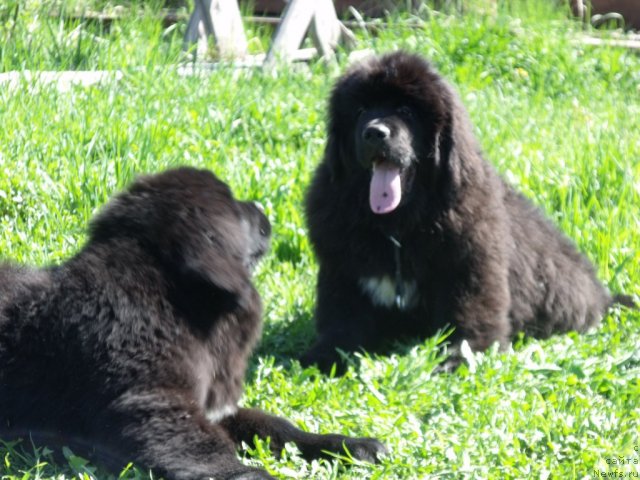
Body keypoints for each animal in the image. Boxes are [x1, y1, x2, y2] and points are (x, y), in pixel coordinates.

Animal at [0, 166, 384, 480]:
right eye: (236, 207)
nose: (261, 207)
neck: (176, 303)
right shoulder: (154, 407)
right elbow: (213, 454)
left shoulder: (207, 405)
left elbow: (276, 426)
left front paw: (351, 445)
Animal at [302, 53, 632, 376]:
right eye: (361, 111)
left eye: (406, 110)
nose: (374, 132)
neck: (398, 227)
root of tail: (601, 294)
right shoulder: (342, 272)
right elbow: (342, 322)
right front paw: (324, 355)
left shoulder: (470, 268)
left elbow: (470, 318)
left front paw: (459, 358)